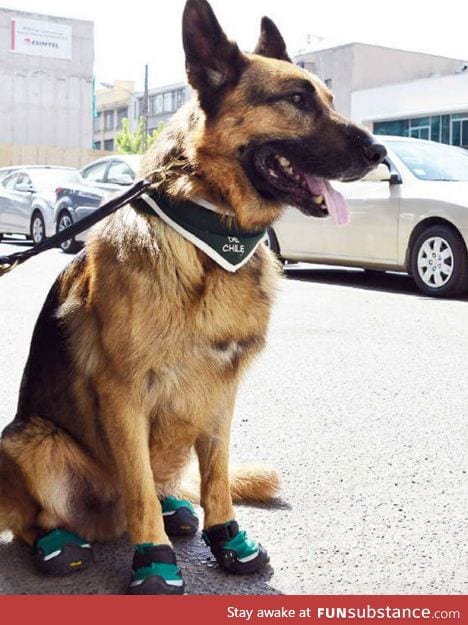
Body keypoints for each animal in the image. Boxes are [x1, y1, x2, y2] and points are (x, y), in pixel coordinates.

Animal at [0, 0, 384, 596]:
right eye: (296, 100)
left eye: (328, 99)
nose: (381, 151)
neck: (210, 236)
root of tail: (102, 522)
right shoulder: (124, 394)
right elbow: (138, 488)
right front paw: (155, 561)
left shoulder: (222, 392)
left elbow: (217, 475)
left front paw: (226, 537)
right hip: (27, 440)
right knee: (42, 517)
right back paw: (60, 541)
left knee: (162, 488)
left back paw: (176, 509)